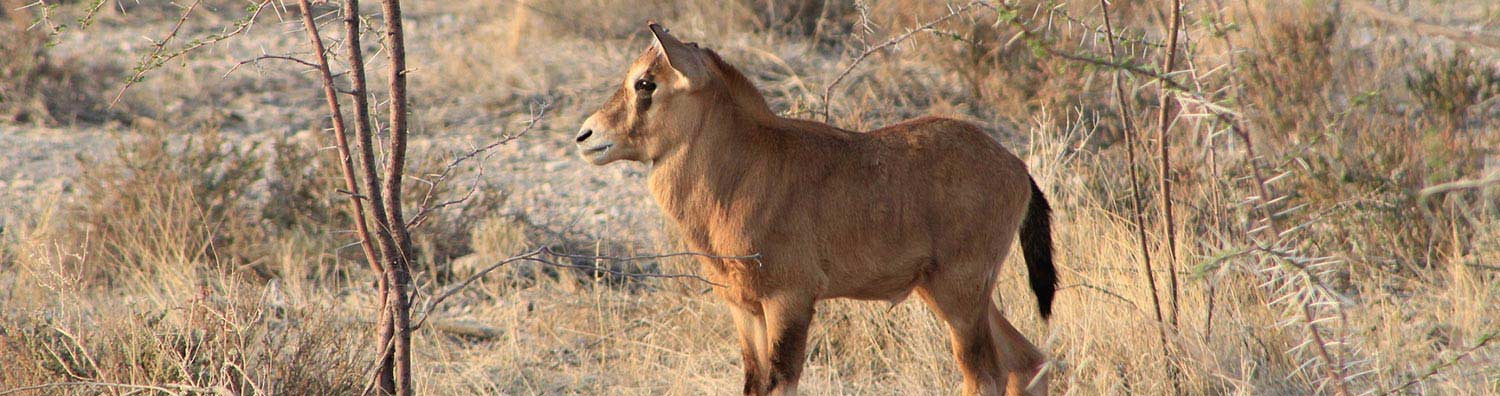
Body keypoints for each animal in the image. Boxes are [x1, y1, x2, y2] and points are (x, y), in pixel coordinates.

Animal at [573, 22, 1056, 396]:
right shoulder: (745, 309)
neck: (747, 164)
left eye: (646, 83)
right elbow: (753, 383)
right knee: (1027, 362)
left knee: (986, 376)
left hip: (958, 295)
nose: (586, 135)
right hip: (959, 295)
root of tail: (1017, 168)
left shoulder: (789, 300)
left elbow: (780, 383)